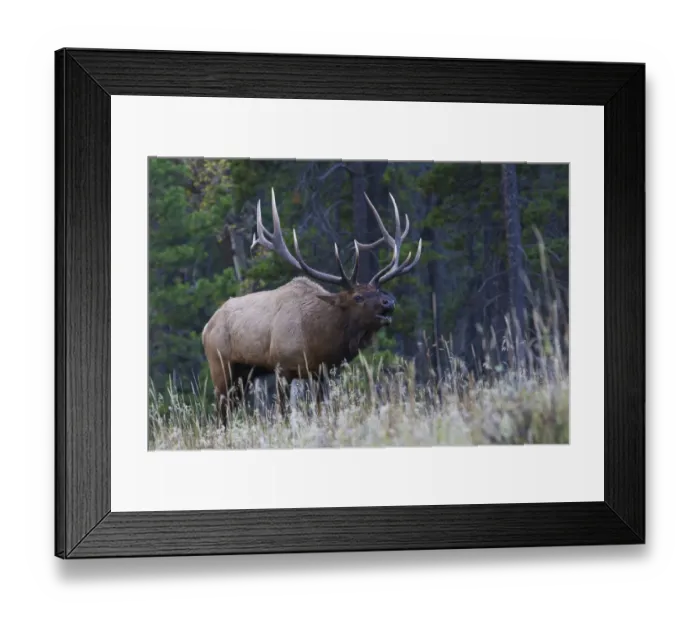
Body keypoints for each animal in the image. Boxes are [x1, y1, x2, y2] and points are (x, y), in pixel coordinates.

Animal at [201, 188, 422, 428]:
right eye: (358, 297)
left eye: (379, 291)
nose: (388, 302)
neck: (316, 338)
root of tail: (205, 328)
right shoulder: (282, 367)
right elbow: (283, 413)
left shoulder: (322, 372)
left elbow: (321, 410)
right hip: (220, 366)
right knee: (220, 414)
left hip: (245, 374)